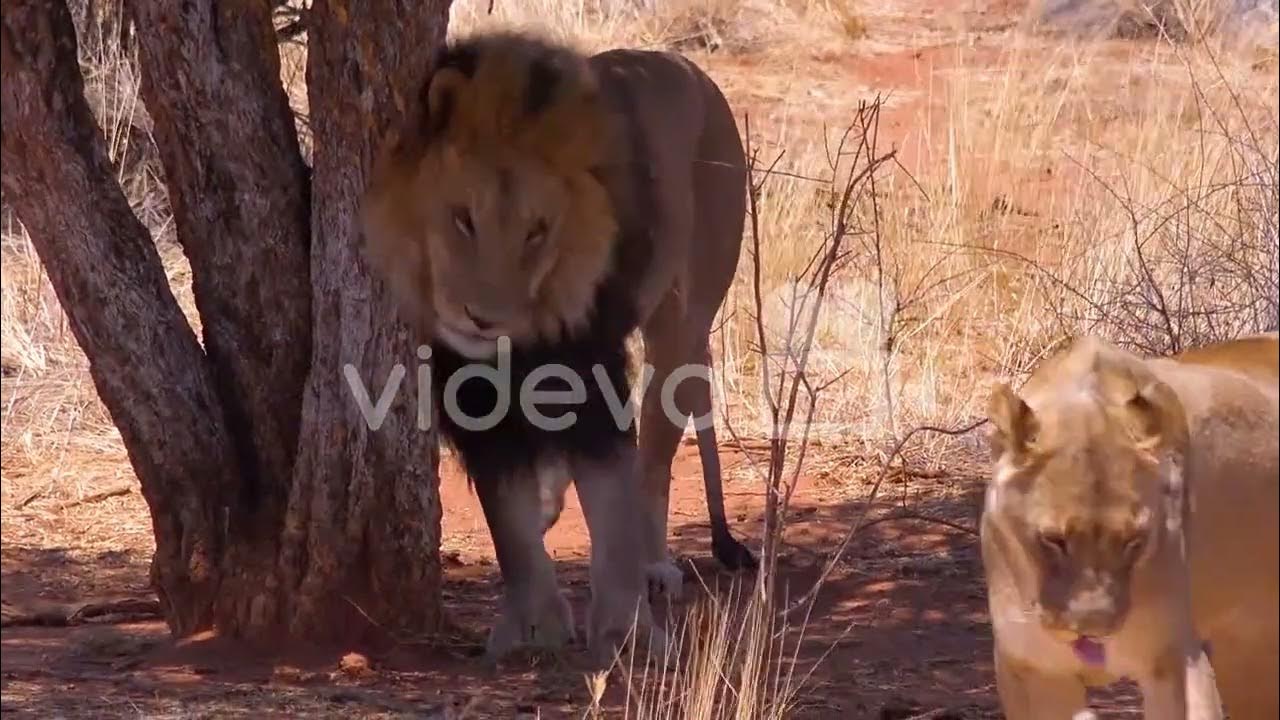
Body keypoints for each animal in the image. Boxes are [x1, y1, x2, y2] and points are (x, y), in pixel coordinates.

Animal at [357, 30, 756, 666]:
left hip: (683, 324)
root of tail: (690, 68)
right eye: (463, 219)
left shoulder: (591, 368)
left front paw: (625, 631)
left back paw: (653, 566)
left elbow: (612, 499)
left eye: (537, 231)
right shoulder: (471, 390)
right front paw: (530, 627)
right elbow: (508, 522)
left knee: (653, 461)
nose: (481, 317)